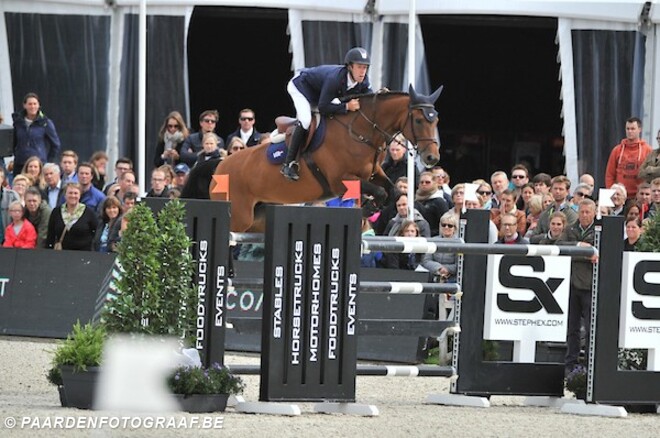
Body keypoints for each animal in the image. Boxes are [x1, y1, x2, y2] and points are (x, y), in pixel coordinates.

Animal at [209, 83, 440, 231]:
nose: (432, 158)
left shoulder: (374, 173)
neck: (360, 131)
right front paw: (367, 207)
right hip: (239, 217)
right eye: (419, 120)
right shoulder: (340, 181)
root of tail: (219, 168)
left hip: (258, 217)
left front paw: (370, 207)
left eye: (435, 120)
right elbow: (381, 192)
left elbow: (392, 190)